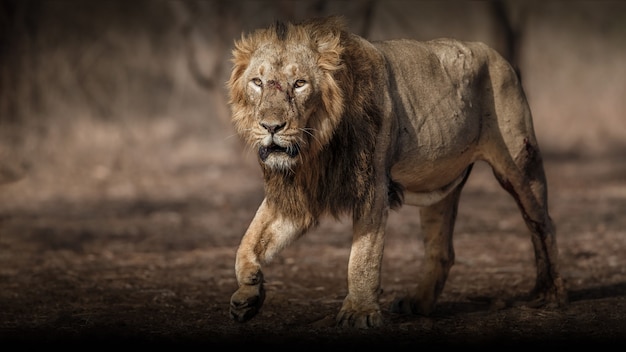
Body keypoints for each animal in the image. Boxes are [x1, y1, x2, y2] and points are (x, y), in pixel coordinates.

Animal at [225, 16, 564, 328]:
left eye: (299, 84)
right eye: (257, 82)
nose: (271, 127)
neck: (316, 146)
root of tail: (500, 57)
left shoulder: (373, 187)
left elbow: (363, 257)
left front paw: (359, 312)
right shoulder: (299, 195)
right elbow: (249, 240)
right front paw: (248, 293)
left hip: (520, 166)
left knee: (543, 224)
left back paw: (550, 295)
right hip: (439, 184)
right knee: (442, 250)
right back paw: (418, 303)